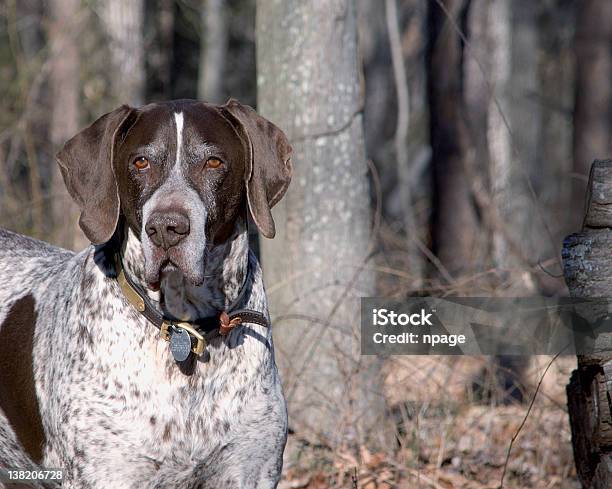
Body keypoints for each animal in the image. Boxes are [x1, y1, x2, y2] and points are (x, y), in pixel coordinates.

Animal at [0, 97, 294, 486]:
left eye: (214, 162)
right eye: (141, 162)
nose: (166, 228)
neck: (183, 330)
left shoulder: (249, 471)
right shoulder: (106, 474)